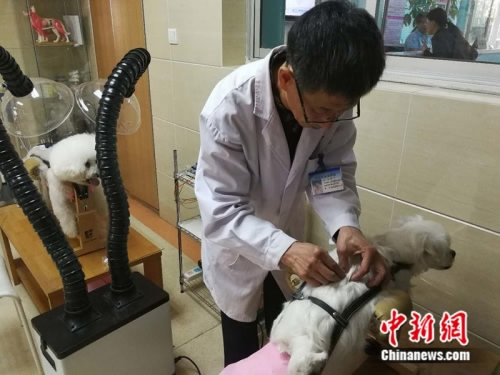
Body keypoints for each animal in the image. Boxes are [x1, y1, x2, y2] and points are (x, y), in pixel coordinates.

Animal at [221, 217, 456, 375]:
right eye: (446, 248)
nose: (454, 254)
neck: (394, 248)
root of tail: (282, 340)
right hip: (306, 346)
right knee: (302, 363)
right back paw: (320, 357)